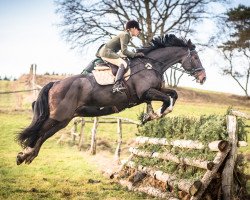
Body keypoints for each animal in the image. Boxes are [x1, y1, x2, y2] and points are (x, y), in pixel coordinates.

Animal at [16, 34, 206, 165]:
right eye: (195, 57)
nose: (203, 77)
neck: (152, 64)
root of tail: (54, 83)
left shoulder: (154, 91)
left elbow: (173, 94)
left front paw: (152, 114)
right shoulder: (146, 92)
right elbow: (167, 99)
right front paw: (154, 115)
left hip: (64, 119)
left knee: (43, 134)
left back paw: (28, 155)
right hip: (57, 116)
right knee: (39, 132)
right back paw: (25, 154)